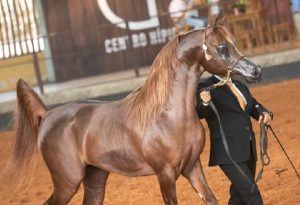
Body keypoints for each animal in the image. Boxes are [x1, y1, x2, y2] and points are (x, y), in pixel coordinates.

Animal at [2, 13, 260, 204]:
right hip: (67, 181)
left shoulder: (192, 167)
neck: (167, 116)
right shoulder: (165, 175)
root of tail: (47, 115)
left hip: (95, 178)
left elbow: (210, 198)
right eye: (223, 47)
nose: (255, 70)